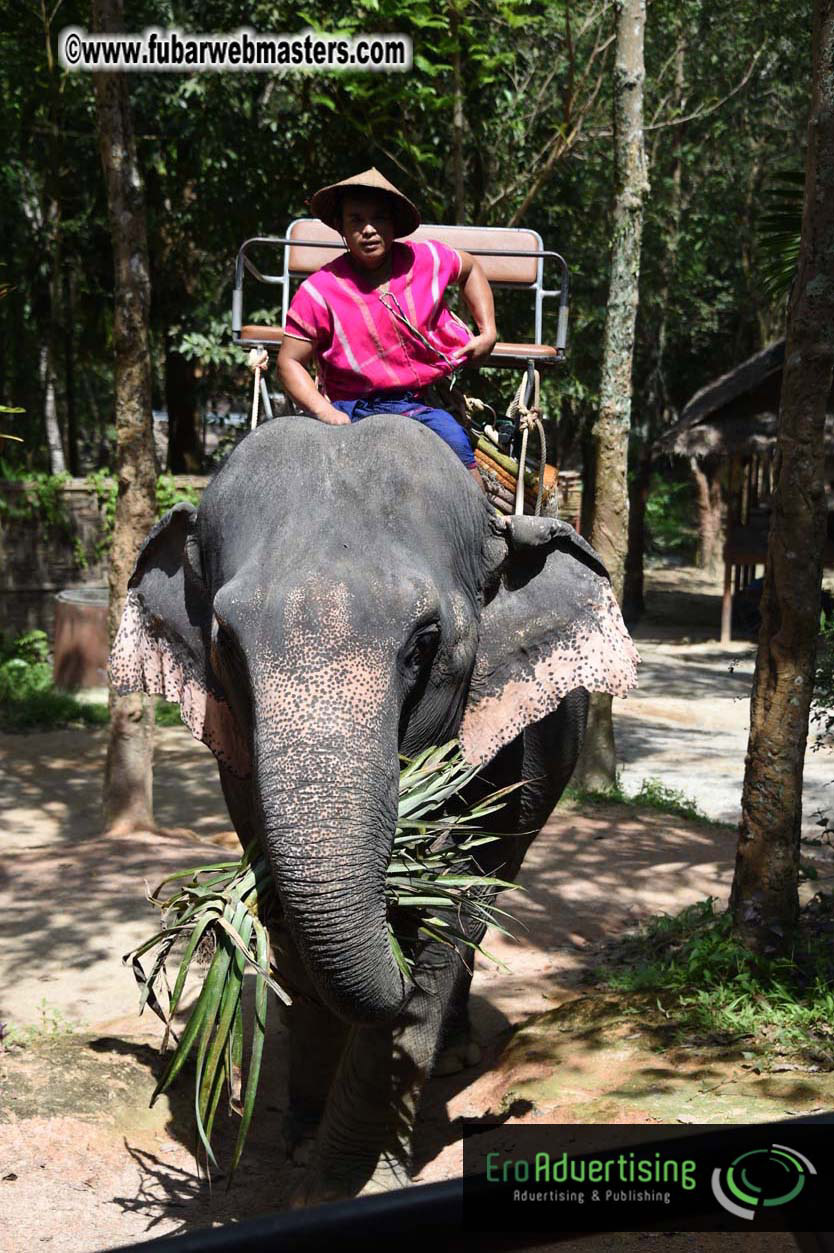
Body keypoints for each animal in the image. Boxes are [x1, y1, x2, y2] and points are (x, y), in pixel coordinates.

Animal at [110, 413, 638, 1202]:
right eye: (225, 644)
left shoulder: (499, 741)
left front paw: (352, 1184)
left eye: (426, 643)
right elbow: (289, 922)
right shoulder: (235, 755)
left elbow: (449, 916)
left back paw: (454, 1055)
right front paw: (304, 1151)